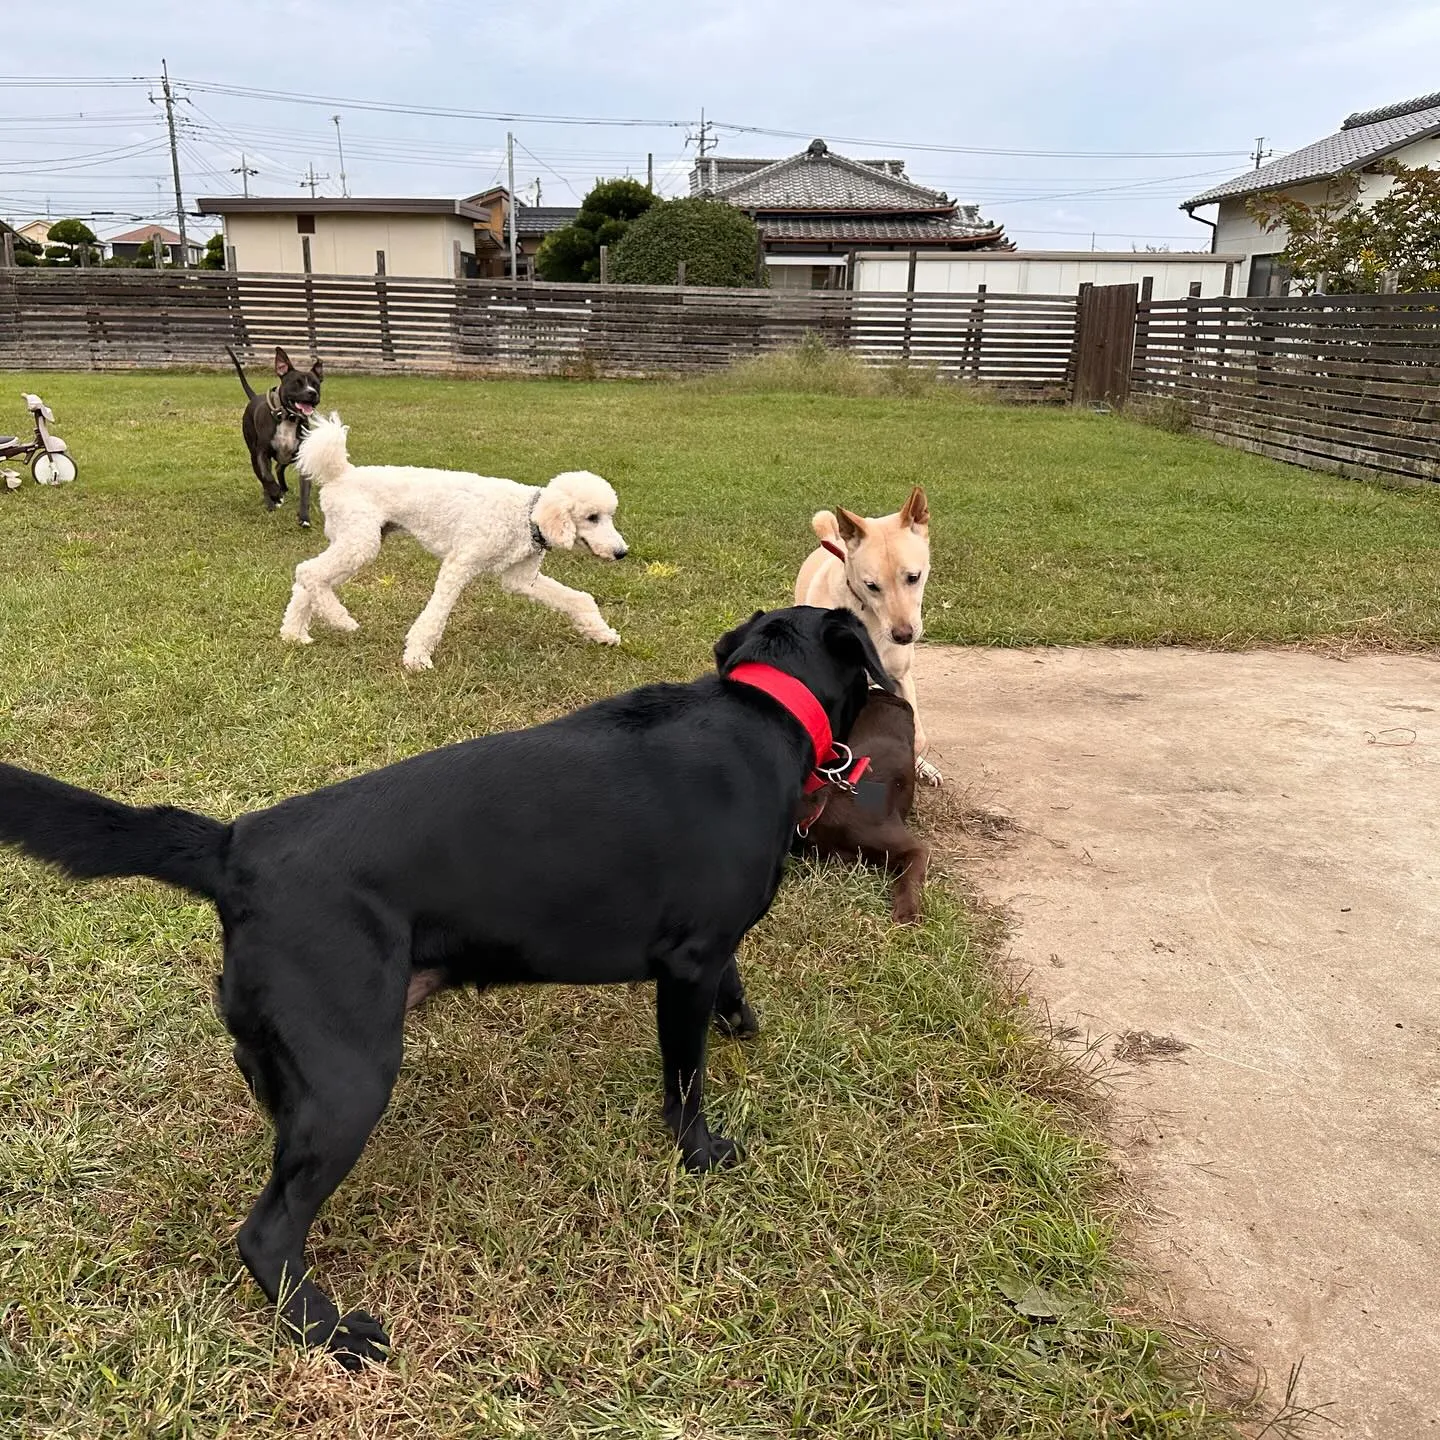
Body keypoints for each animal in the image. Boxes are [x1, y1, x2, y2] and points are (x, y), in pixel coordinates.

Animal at [0, 607, 887, 1370]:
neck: (762, 708)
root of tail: (233, 844)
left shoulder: (710, 953)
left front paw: (743, 1022)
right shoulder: (691, 963)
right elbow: (686, 1080)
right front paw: (699, 1153)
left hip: (297, 1059)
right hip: (353, 1077)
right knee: (266, 1231)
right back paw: (328, 1333)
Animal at [223, 345, 322, 527]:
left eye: (315, 384)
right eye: (296, 383)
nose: (312, 393)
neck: (288, 419)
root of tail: (255, 397)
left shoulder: (302, 458)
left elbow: (304, 492)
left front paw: (304, 518)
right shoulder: (262, 454)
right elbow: (266, 477)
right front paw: (276, 495)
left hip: (288, 456)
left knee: (278, 467)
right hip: (253, 452)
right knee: (263, 476)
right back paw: (271, 499)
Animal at [794, 489, 938, 789]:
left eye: (913, 577)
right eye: (871, 585)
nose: (903, 635)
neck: (870, 619)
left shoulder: (901, 678)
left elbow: (918, 736)